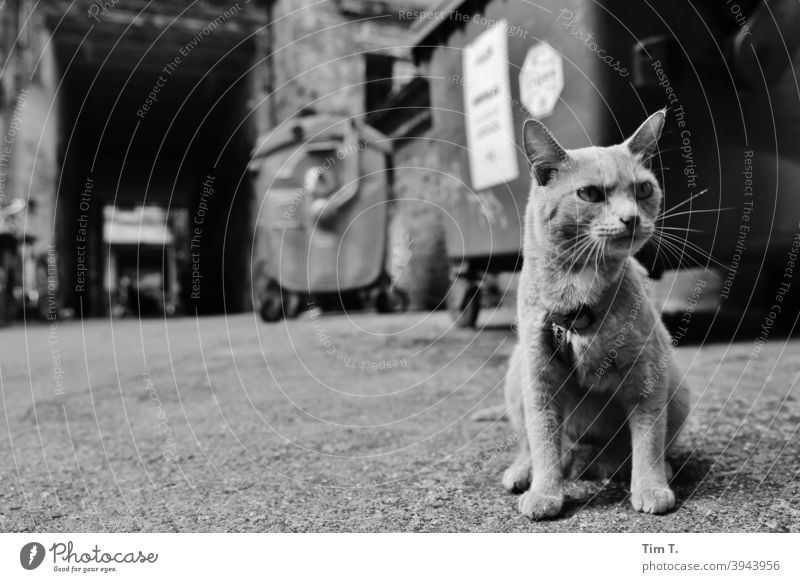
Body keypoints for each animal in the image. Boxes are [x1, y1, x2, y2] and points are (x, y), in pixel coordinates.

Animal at [506, 109, 688, 520]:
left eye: (643, 190)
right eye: (589, 193)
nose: (631, 218)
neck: (577, 297)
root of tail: (588, 459)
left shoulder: (647, 373)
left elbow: (649, 438)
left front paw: (650, 487)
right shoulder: (539, 375)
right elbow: (543, 440)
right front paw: (545, 493)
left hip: (678, 384)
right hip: (515, 371)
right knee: (532, 444)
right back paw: (523, 472)